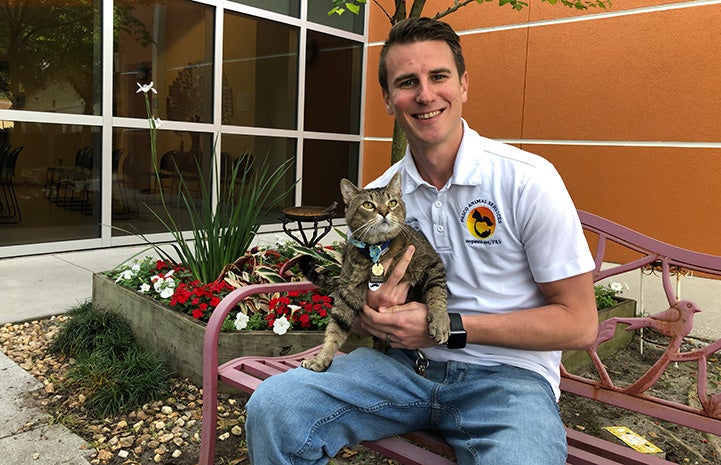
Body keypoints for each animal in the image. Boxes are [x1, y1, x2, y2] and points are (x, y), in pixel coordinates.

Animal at [296, 172, 444, 372]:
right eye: (368, 205)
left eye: (392, 203)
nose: (384, 212)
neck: (378, 249)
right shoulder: (348, 293)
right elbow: (335, 329)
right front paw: (321, 358)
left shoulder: (432, 264)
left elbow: (437, 294)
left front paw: (441, 323)